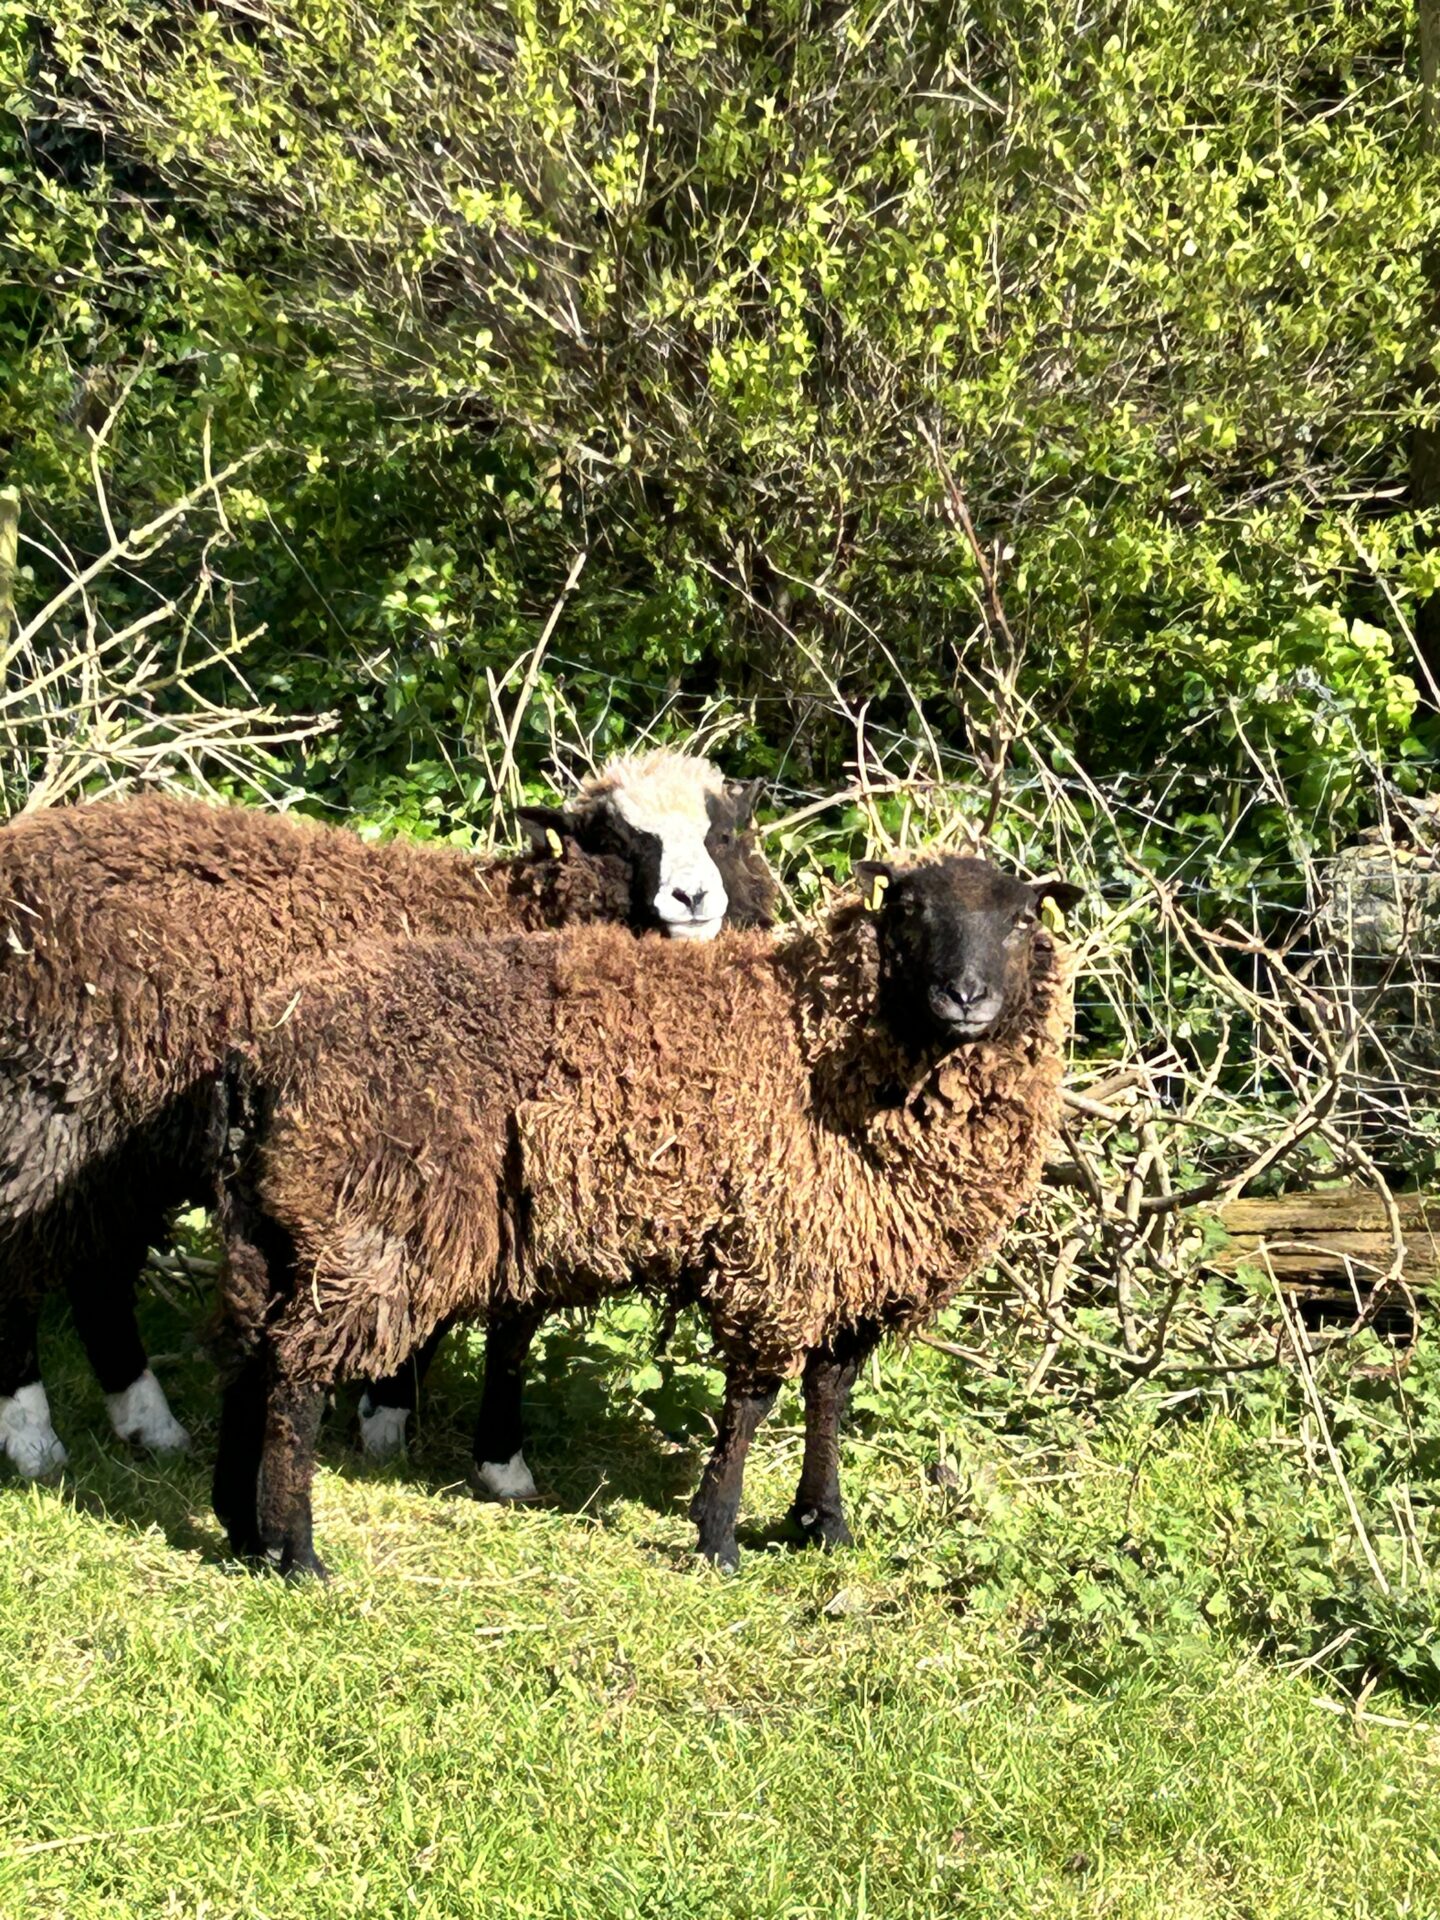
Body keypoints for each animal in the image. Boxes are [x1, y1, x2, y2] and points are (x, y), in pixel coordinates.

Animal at [0, 751, 775, 1480]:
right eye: (616, 841)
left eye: (723, 833)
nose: (693, 897)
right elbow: (509, 1320)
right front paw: (490, 1457)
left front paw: (386, 1412)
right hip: (46, 1112)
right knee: (22, 1261)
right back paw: (34, 1438)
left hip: (118, 1144)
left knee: (98, 1268)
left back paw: (148, 1423)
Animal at [213, 851, 1080, 1577]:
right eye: (906, 910)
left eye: (1022, 919)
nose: (964, 998)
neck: (822, 1045)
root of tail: (266, 1049)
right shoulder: (778, 1254)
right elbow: (753, 1402)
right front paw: (719, 1536)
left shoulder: (855, 1265)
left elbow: (828, 1397)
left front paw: (823, 1523)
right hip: (375, 1224)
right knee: (298, 1374)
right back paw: (297, 1553)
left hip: (277, 1219)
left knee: (252, 1352)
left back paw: (241, 1529)